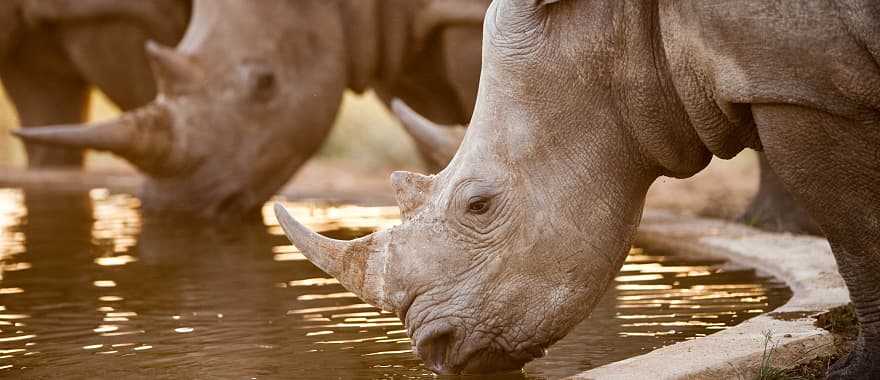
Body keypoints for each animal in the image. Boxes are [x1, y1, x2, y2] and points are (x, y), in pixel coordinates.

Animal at [276, 0, 880, 376]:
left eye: (479, 205)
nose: (434, 351)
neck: (619, 30)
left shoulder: (799, 86)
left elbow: (857, 236)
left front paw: (855, 370)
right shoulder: (791, 76)